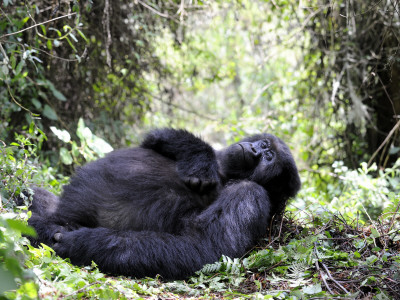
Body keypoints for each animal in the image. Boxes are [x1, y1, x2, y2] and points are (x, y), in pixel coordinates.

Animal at [27, 128, 300, 278]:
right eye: (264, 145)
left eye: (268, 157)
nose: (255, 150)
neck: (227, 176)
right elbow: (156, 140)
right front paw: (200, 156)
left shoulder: (250, 195)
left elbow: (201, 247)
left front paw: (80, 242)